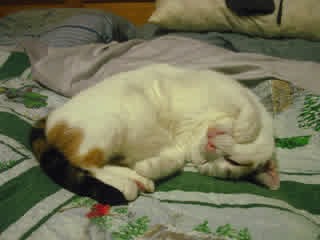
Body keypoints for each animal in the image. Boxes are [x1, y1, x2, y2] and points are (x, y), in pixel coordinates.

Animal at [30, 63, 280, 204]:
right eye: (233, 161)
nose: (211, 144)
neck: (201, 125)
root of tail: (50, 118)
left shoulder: (179, 148)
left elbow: (175, 160)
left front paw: (147, 168)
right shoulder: (229, 90)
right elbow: (249, 113)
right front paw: (242, 127)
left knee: (94, 164)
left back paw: (136, 181)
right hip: (111, 125)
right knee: (84, 162)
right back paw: (128, 184)